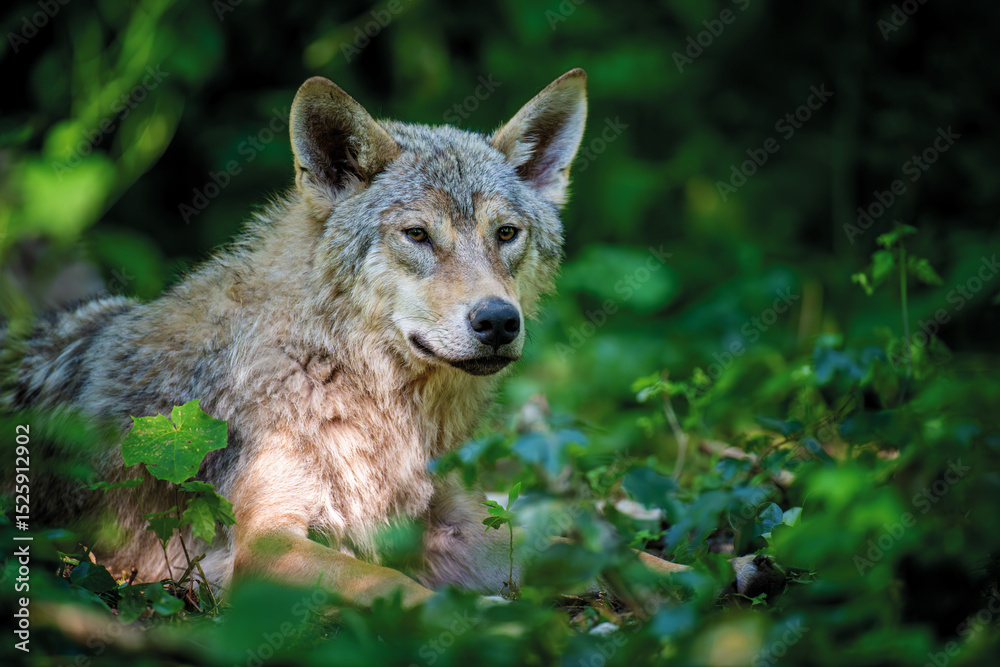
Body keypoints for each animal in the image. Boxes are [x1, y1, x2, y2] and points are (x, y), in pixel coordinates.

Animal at [1, 70, 779, 608]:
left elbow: (587, 548)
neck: (369, 398)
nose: (498, 321)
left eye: (506, 234)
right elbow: (394, 590)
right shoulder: (268, 543)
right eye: (418, 235)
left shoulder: (445, 526)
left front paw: (713, 571)